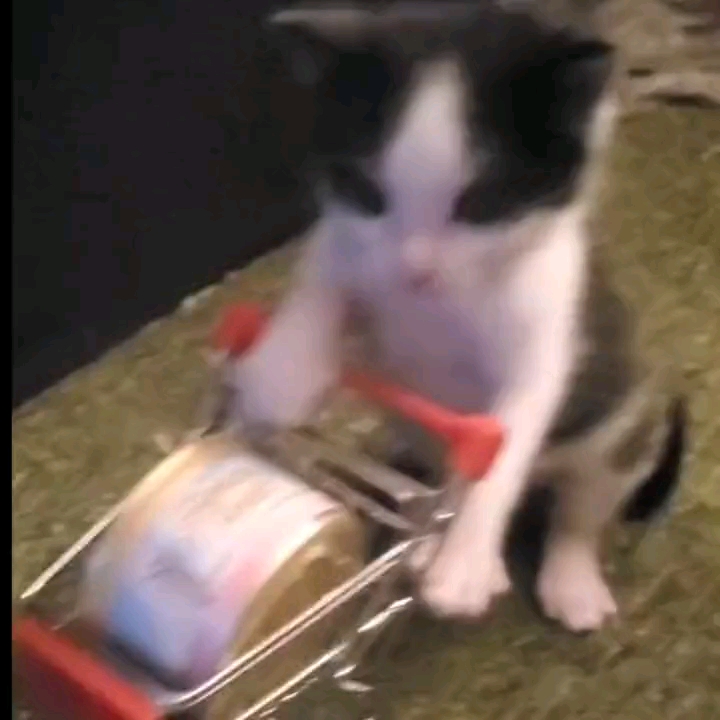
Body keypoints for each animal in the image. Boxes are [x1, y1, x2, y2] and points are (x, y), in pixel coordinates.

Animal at [227, 1, 687, 632]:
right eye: (370, 193)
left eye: (479, 204)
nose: (416, 271)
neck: (445, 303)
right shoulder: (351, 237)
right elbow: (327, 266)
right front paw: (281, 370)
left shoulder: (551, 316)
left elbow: (509, 434)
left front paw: (465, 563)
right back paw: (425, 542)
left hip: (623, 419)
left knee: (581, 508)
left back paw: (570, 580)